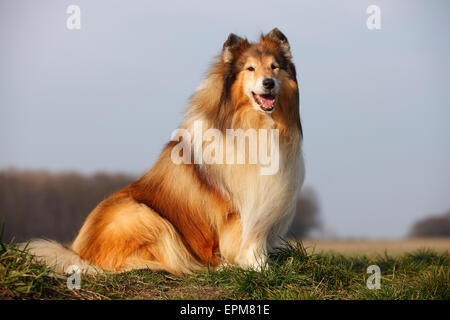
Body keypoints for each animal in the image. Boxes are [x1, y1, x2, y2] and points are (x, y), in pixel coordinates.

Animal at [25, 28, 306, 276]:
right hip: (142, 216)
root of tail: (78, 253)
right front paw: (257, 268)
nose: (268, 83)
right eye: (250, 69)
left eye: (274, 67)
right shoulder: (238, 206)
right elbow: (247, 241)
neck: (255, 124)